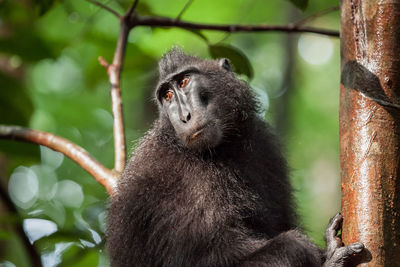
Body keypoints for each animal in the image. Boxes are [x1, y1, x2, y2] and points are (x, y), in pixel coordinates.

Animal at [106, 49, 362, 266]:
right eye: (167, 95)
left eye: (184, 82)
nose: (184, 116)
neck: (222, 149)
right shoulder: (180, 182)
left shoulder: (263, 144)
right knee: (293, 246)